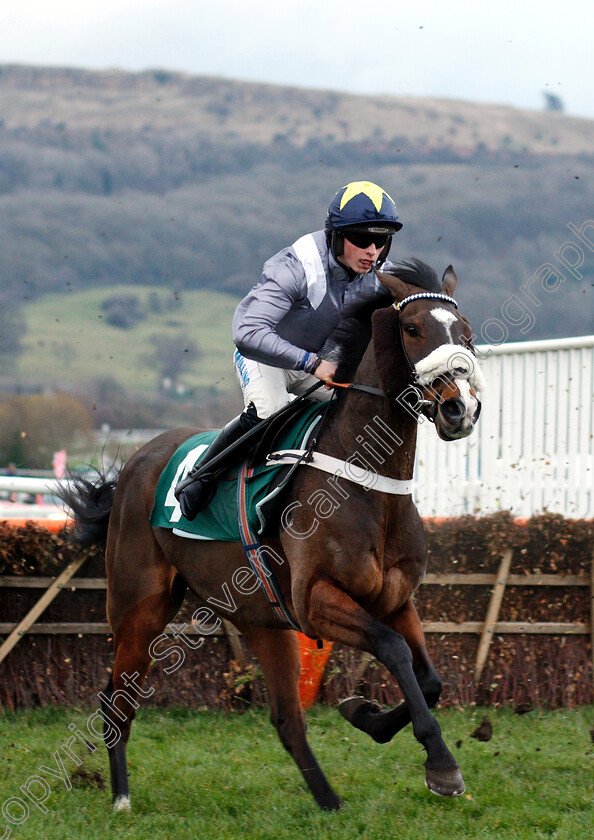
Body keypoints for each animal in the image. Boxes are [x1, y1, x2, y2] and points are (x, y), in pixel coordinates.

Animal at [62, 260, 484, 812]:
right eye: (412, 328)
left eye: (467, 333)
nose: (461, 410)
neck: (368, 481)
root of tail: (137, 460)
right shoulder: (317, 600)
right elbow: (393, 650)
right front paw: (440, 763)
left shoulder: (394, 599)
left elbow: (430, 680)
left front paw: (366, 716)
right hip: (139, 609)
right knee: (116, 699)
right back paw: (120, 798)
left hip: (261, 618)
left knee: (286, 720)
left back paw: (329, 802)